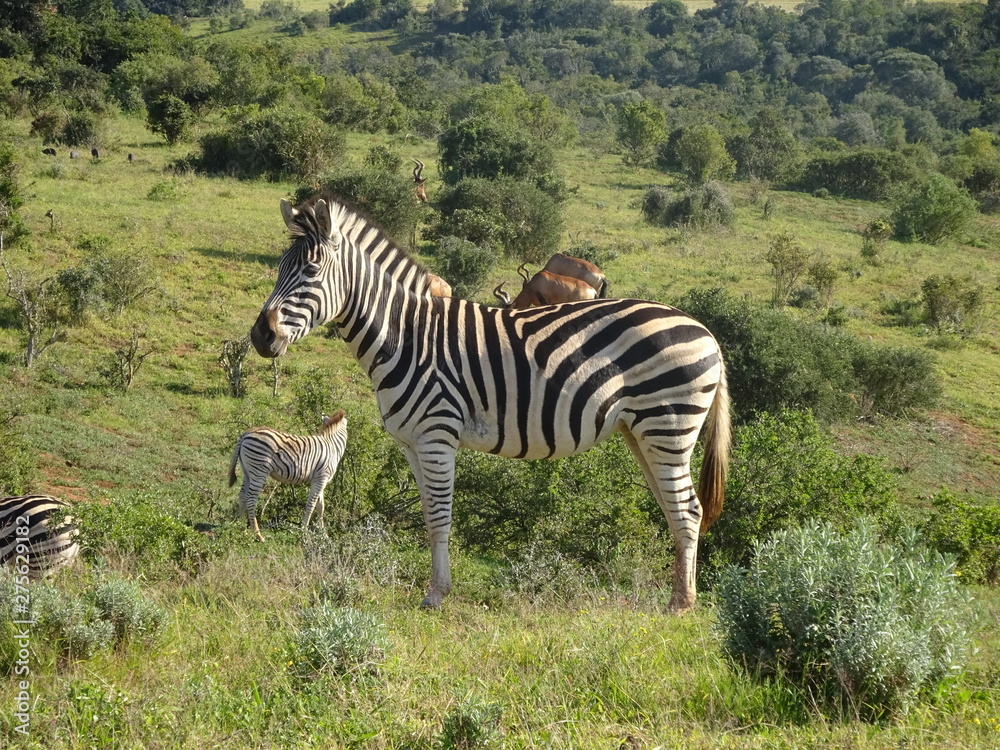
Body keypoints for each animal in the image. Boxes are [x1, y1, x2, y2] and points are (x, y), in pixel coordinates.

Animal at [228, 410, 348, 541]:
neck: (332, 446)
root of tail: (246, 433)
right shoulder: (321, 478)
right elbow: (311, 504)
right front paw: (304, 531)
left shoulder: (319, 479)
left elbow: (320, 506)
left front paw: (324, 535)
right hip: (259, 470)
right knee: (250, 498)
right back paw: (258, 535)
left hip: (247, 471)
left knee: (242, 496)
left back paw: (242, 530)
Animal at [249, 197, 730, 612]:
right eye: (280, 268)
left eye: (311, 270)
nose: (260, 336)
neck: (406, 336)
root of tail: (705, 331)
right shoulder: (411, 443)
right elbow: (428, 516)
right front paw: (434, 588)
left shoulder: (437, 435)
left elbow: (440, 516)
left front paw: (436, 595)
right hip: (642, 432)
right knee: (674, 508)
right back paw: (677, 598)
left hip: (668, 425)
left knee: (688, 510)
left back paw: (681, 606)